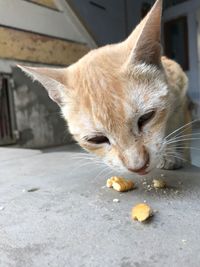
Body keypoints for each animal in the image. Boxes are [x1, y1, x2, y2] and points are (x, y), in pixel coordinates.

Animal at [18, 0, 191, 176]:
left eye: (146, 117)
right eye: (96, 139)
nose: (138, 167)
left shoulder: (181, 94)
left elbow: (180, 127)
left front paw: (173, 154)